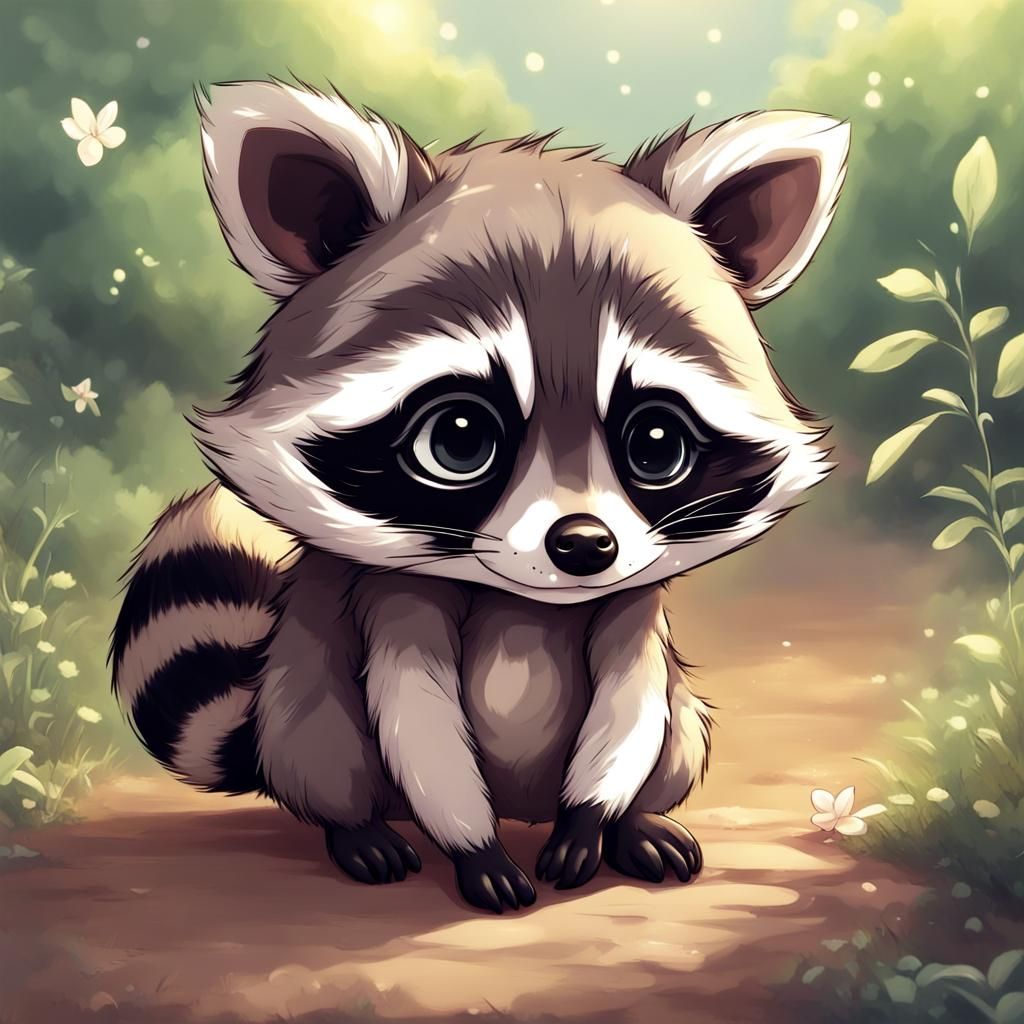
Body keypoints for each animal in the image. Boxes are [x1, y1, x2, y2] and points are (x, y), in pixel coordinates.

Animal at [111, 79, 848, 913]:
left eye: (657, 444)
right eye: (459, 438)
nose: (584, 546)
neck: (525, 600)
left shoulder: (635, 598)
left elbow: (632, 700)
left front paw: (594, 818)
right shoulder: (389, 596)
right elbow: (415, 712)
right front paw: (473, 846)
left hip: (680, 724)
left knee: (674, 733)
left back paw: (635, 821)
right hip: (296, 703)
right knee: (323, 740)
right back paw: (356, 827)